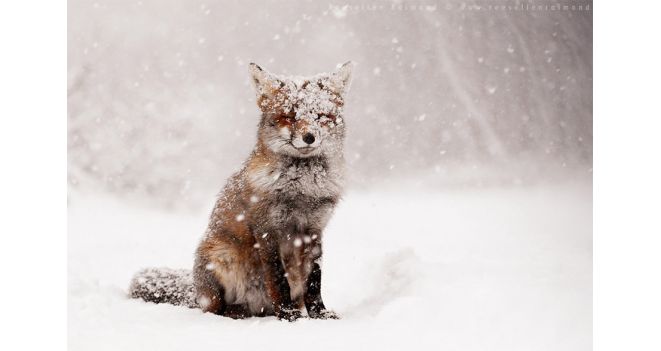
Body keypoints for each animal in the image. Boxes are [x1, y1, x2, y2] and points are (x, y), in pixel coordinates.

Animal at [131, 61, 354, 322]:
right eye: (289, 117)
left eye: (321, 116)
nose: (309, 137)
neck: (301, 190)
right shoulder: (268, 230)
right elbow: (277, 279)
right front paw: (288, 315)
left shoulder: (314, 230)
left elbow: (314, 281)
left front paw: (320, 314)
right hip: (220, 260)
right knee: (216, 309)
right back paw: (239, 312)